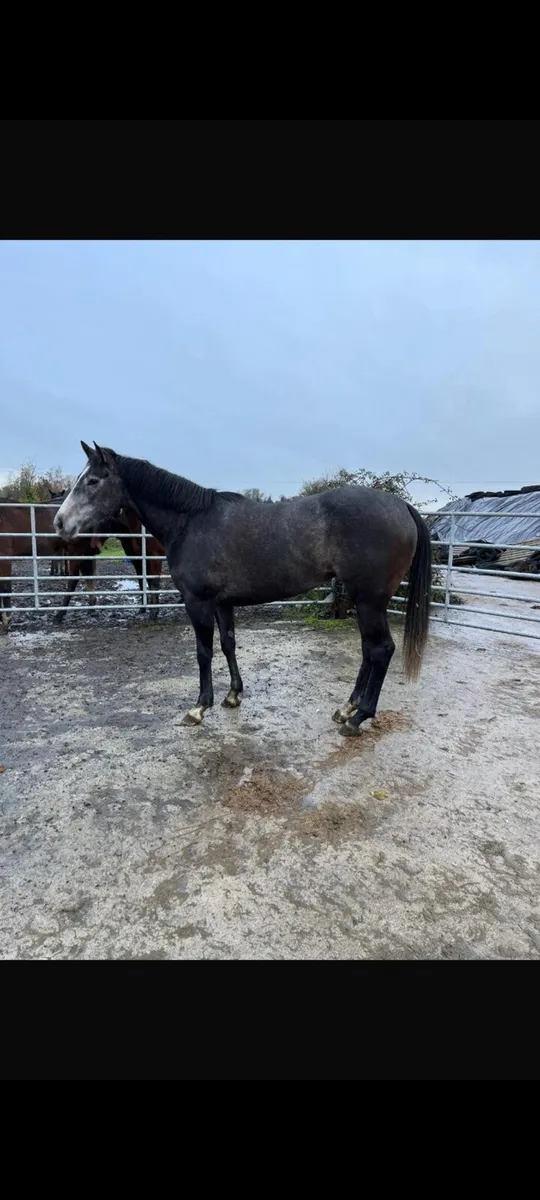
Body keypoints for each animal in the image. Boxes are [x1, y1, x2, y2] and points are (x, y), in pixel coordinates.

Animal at [54, 441, 432, 737]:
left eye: (92, 480)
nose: (59, 523)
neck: (191, 522)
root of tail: (402, 506)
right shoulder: (223, 603)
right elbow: (228, 645)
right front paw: (233, 696)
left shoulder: (197, 602)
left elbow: (204, 652)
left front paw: (199, 707)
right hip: (363, 601)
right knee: (369, 651)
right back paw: (347, 708)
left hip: (369, 601)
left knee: (381, 650)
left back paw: (358, 718)